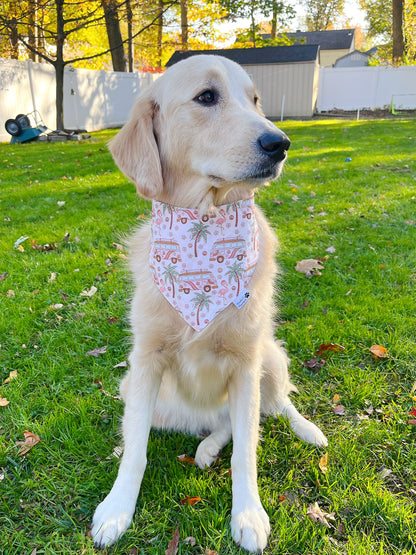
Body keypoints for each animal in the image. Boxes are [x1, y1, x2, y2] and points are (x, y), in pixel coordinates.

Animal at [92, 54, 328, 552]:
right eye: (206, 97)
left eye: (255, 100)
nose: (280, 143)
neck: (205, 219)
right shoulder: (145, 363)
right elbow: (135, 451)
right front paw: (117, 509)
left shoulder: (245, 363)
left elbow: (247, 453)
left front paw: (249, 514)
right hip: (139, 389)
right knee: (225, 426)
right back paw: (205, 446)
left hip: (269, 358)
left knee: (274, 409)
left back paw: (306, 430)